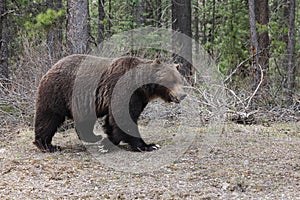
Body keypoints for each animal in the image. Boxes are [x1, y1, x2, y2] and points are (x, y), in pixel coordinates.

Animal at [34, 54, 186, 152]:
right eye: (171, 81)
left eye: (180, 80)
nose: (183, 95)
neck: (142, 86)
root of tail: (51, 67)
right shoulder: (125, 91)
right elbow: (123, 118)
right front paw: (148, 145)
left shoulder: (139, 98)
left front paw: (108, 141)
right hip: (58, 92)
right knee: (49, 117)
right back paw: (48, 146)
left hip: (83, 102)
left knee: (85, 120)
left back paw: (93, 137)